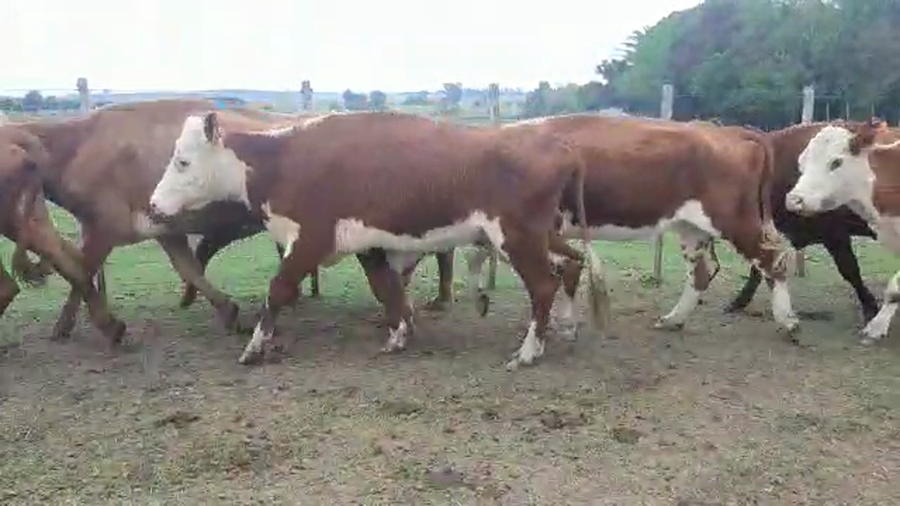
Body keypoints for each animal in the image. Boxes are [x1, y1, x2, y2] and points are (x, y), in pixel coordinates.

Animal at [147, 111, 610, 370]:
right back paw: (566, 328)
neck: (284, 161)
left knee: (544, 285)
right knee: (570, 263)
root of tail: (560, 145)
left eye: (182, 161)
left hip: (517, 237)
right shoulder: (367, 244)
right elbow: (386, 287)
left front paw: (254, 347)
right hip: (540, 235)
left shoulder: (310, 239)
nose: (153, 205)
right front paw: (399, 333)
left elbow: (277, 290)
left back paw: (529, 352)